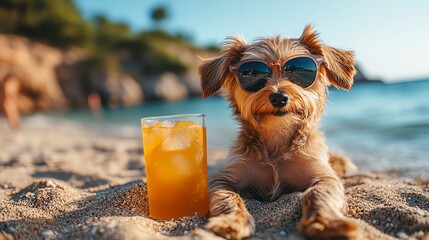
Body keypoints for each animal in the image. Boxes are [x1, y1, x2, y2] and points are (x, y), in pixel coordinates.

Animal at [199, 24, 360, 240]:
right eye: (251, 74)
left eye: (299, 71)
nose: (278, 97)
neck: (276, 137)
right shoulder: (223, 179)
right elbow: (228, 197)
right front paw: (232, 221)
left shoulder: (324, 177)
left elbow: (318, 193)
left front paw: (325, 224)